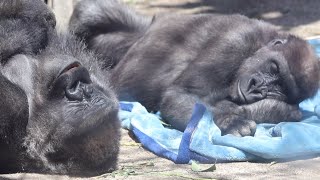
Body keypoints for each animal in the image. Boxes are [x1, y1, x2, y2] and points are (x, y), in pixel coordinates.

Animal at [70, 0, 320, 136]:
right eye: (274, 68)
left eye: (281, 87)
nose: (257, 87)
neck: (260, 43)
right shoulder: (236, 40)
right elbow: (181, 95)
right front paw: (232, 121)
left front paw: (270, 108)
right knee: (91, 11)